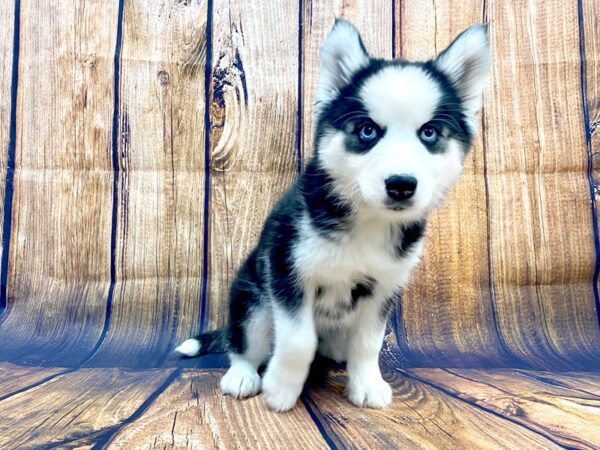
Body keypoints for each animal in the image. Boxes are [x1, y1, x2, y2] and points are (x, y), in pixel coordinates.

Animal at [176, 18, 490, 412]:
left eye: (429, 133)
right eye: (368, 131)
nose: (401, 185)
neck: (367, 221)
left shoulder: (382, 288)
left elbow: (369, 343)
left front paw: (366, 383)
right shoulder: (288, 271)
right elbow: (299, 340)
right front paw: (280, 389)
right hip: (253, 300)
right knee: (243, 342)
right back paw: (243, 374)